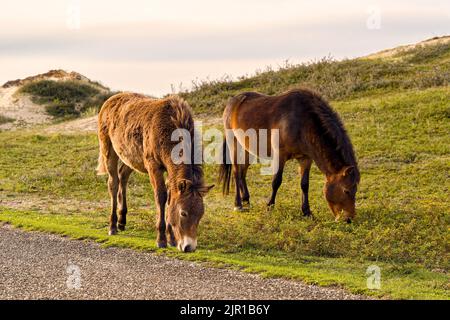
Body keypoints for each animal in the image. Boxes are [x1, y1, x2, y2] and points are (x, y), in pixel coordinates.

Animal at [96, 92, 213, 252]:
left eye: (201, 214)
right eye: (183, 213)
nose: (189, 247)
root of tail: (109, 101)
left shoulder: (169, 170)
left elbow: (170, 198)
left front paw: (171, 238)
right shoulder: (153, 166)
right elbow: (161, 196)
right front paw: (161, 239)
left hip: (130, 157)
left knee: (123, 176)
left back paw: (122, 221)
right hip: (109, 149)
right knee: (113, 183)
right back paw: (113, 226)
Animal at [220, 87, 360, 222]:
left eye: (355, 190)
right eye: (346, 190)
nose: (349, 219)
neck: (302, 121)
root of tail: (232, 102)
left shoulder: (305, 158)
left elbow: (305, 184)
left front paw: (306, 212)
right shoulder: (280, 155)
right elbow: (276, 181)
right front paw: (269, 206)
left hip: (248, 148)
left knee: (242, 172)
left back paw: (246, 200)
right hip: (234, 143)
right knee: (236, 172)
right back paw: (238, 204)